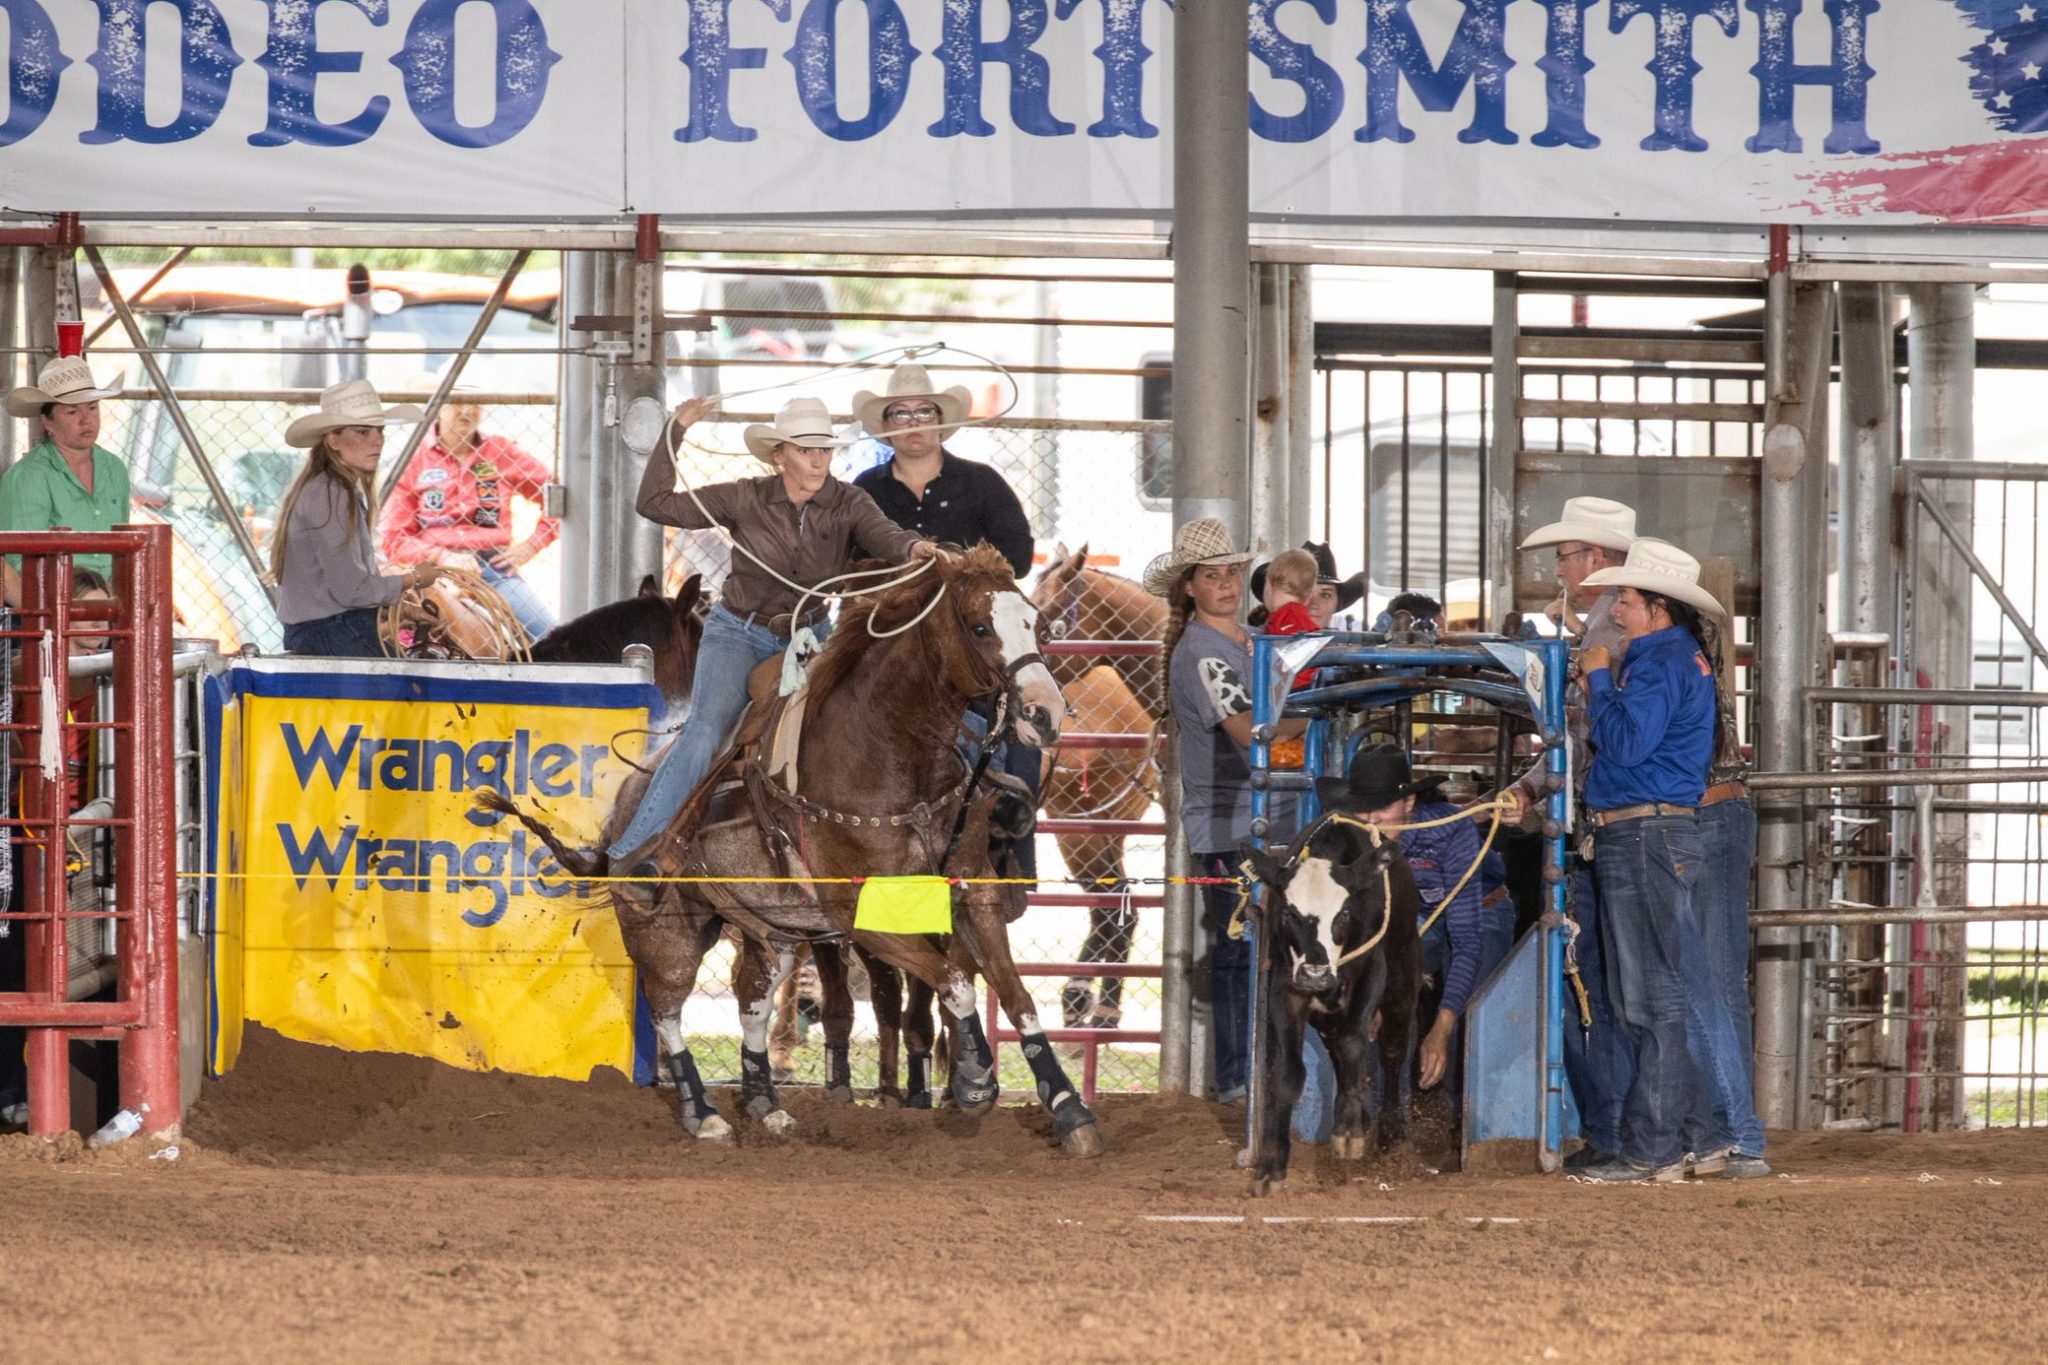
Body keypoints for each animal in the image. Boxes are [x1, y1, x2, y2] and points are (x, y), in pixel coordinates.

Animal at [483, 548, 1105, 1162]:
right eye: (979, 627)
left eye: (1038, 625)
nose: (1045, 714)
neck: (888, 757)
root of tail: (623, 814)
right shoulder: (864, 918)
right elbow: (955, 980)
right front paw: (974, 1079)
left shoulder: (974, 894)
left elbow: (1017, 997)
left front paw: (1069, 1108)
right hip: (668, 933)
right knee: (667, 1009)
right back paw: (704, 1112)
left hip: (773, 932)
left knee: (752, 1000)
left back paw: (765, 1102)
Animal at [1236, 822, 1417, 1195]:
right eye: (1289, 913)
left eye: (1344, 913)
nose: (1316, 974)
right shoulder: (1285, 987)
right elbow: (1289, 1072)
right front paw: (1271, 1167)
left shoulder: (1371, 973)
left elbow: (1354, 1045)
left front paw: (1348, 1133)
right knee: (1337, 1049)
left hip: (1402, 987)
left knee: (1391, 1053)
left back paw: (1391, 1134)